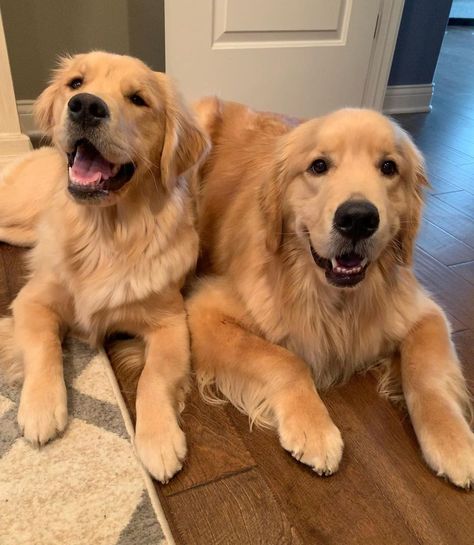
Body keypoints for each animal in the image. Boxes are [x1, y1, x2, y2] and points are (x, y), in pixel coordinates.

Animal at [0, 53, 208, 482]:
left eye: (138, 99)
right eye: (76, 83)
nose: (85, 106)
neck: (105, 235)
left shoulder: (170, 322)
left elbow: (154, 377)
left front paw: (159, 439)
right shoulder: (32, 301)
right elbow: (43, 345)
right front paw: (40, 407)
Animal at [186, 98, 474, 488]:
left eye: (389, 167)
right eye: (318, 166)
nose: (358, 219)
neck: (333, 297)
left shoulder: (424, 312)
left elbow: (427, 374)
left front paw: (453, 440)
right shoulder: (204, 310)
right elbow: (285, 359)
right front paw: (315, 429)